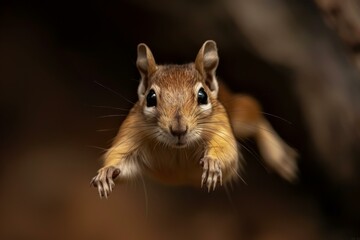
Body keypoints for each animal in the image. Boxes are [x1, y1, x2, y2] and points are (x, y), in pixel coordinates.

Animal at [90, 40, 298, 198]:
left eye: (202, 96)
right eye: (150, 98)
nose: (179, 130)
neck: (178, 150)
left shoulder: (221, 129)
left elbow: (228, 152)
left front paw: (212, 163)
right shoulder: (132, 132)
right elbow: (119, 159)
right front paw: (107, 172)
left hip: (239, 117)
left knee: (255, 111)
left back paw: (279, 157)